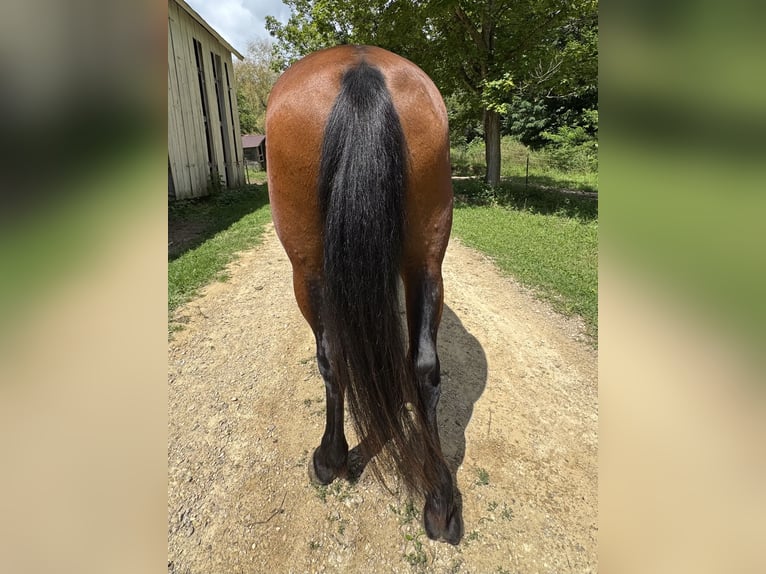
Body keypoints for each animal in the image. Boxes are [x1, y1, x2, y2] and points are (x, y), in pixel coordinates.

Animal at [265, 45, 461, 544]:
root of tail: (361, 67)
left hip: (307, 268)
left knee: (332, 358)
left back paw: (330, 459)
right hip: (427, 254)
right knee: (424, 366)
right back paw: (440, 500)